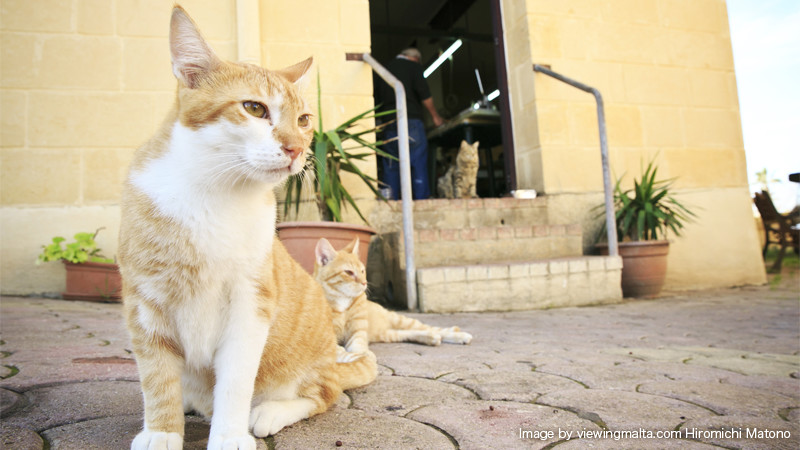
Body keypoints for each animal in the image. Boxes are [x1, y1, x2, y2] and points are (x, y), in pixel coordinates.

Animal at [118, 5, 376, 448]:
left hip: (311, 368)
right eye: (255, 109)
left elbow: (237, 380)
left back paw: (270, 411)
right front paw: (162, 431)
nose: (297, 149)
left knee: (323, 394)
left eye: (304, 119)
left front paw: (229, 435)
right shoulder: (145, 304)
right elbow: (156, 378)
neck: (213, 196)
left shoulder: (251, 303)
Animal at [312, 237, 472, 360]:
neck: (342, 301)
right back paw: (431, 338)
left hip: (399, 319)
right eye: (349, 272)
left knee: (429, 327)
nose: (364, 282)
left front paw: (363, 356)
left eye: (362, 271)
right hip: (386, 334)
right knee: (407, 333)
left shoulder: (357, 332)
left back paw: (460, 335)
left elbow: (358, 347)